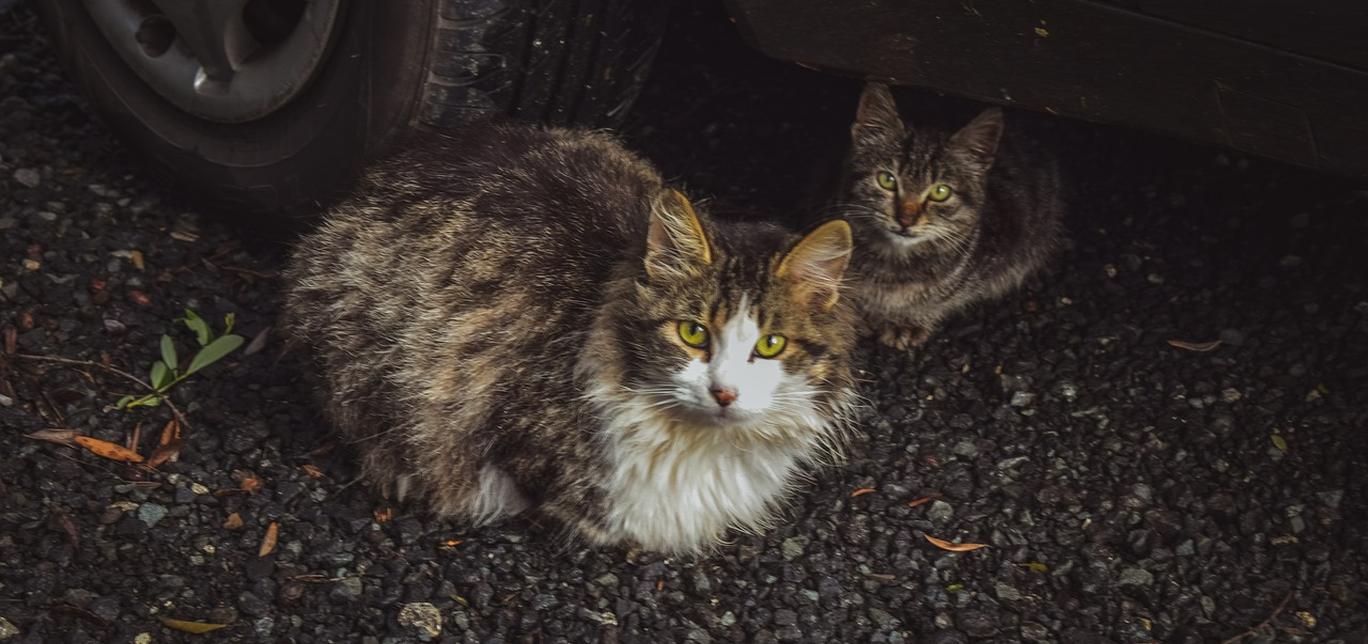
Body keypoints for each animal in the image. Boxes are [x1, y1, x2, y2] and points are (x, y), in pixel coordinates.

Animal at [831, 84, 1067, 352]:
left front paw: (908, 320)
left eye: (940, 192)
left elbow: (939, 299)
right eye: (887, 180)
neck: (893, 265)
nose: (906, 219)